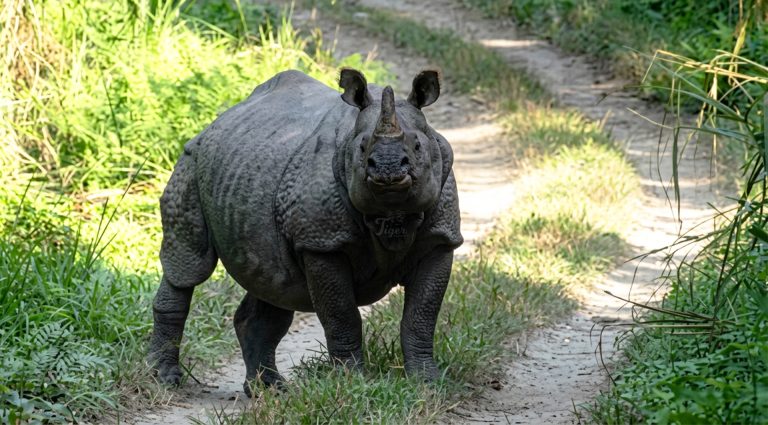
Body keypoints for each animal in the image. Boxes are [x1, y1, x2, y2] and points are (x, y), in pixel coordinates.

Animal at [148, 68, 463, 394]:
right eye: (362, 148)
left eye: (418, 147)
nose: (387, 169)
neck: (391, 214)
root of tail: (215, 122)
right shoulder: (322, 243)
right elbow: (342, 315)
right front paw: (351, 383)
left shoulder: (440, 240)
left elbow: (421, 317)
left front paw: (427, 383)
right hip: (190, 161)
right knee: (188, 266)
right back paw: (164, 379)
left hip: (249, 169)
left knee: (276, 284)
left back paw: (268, 389)